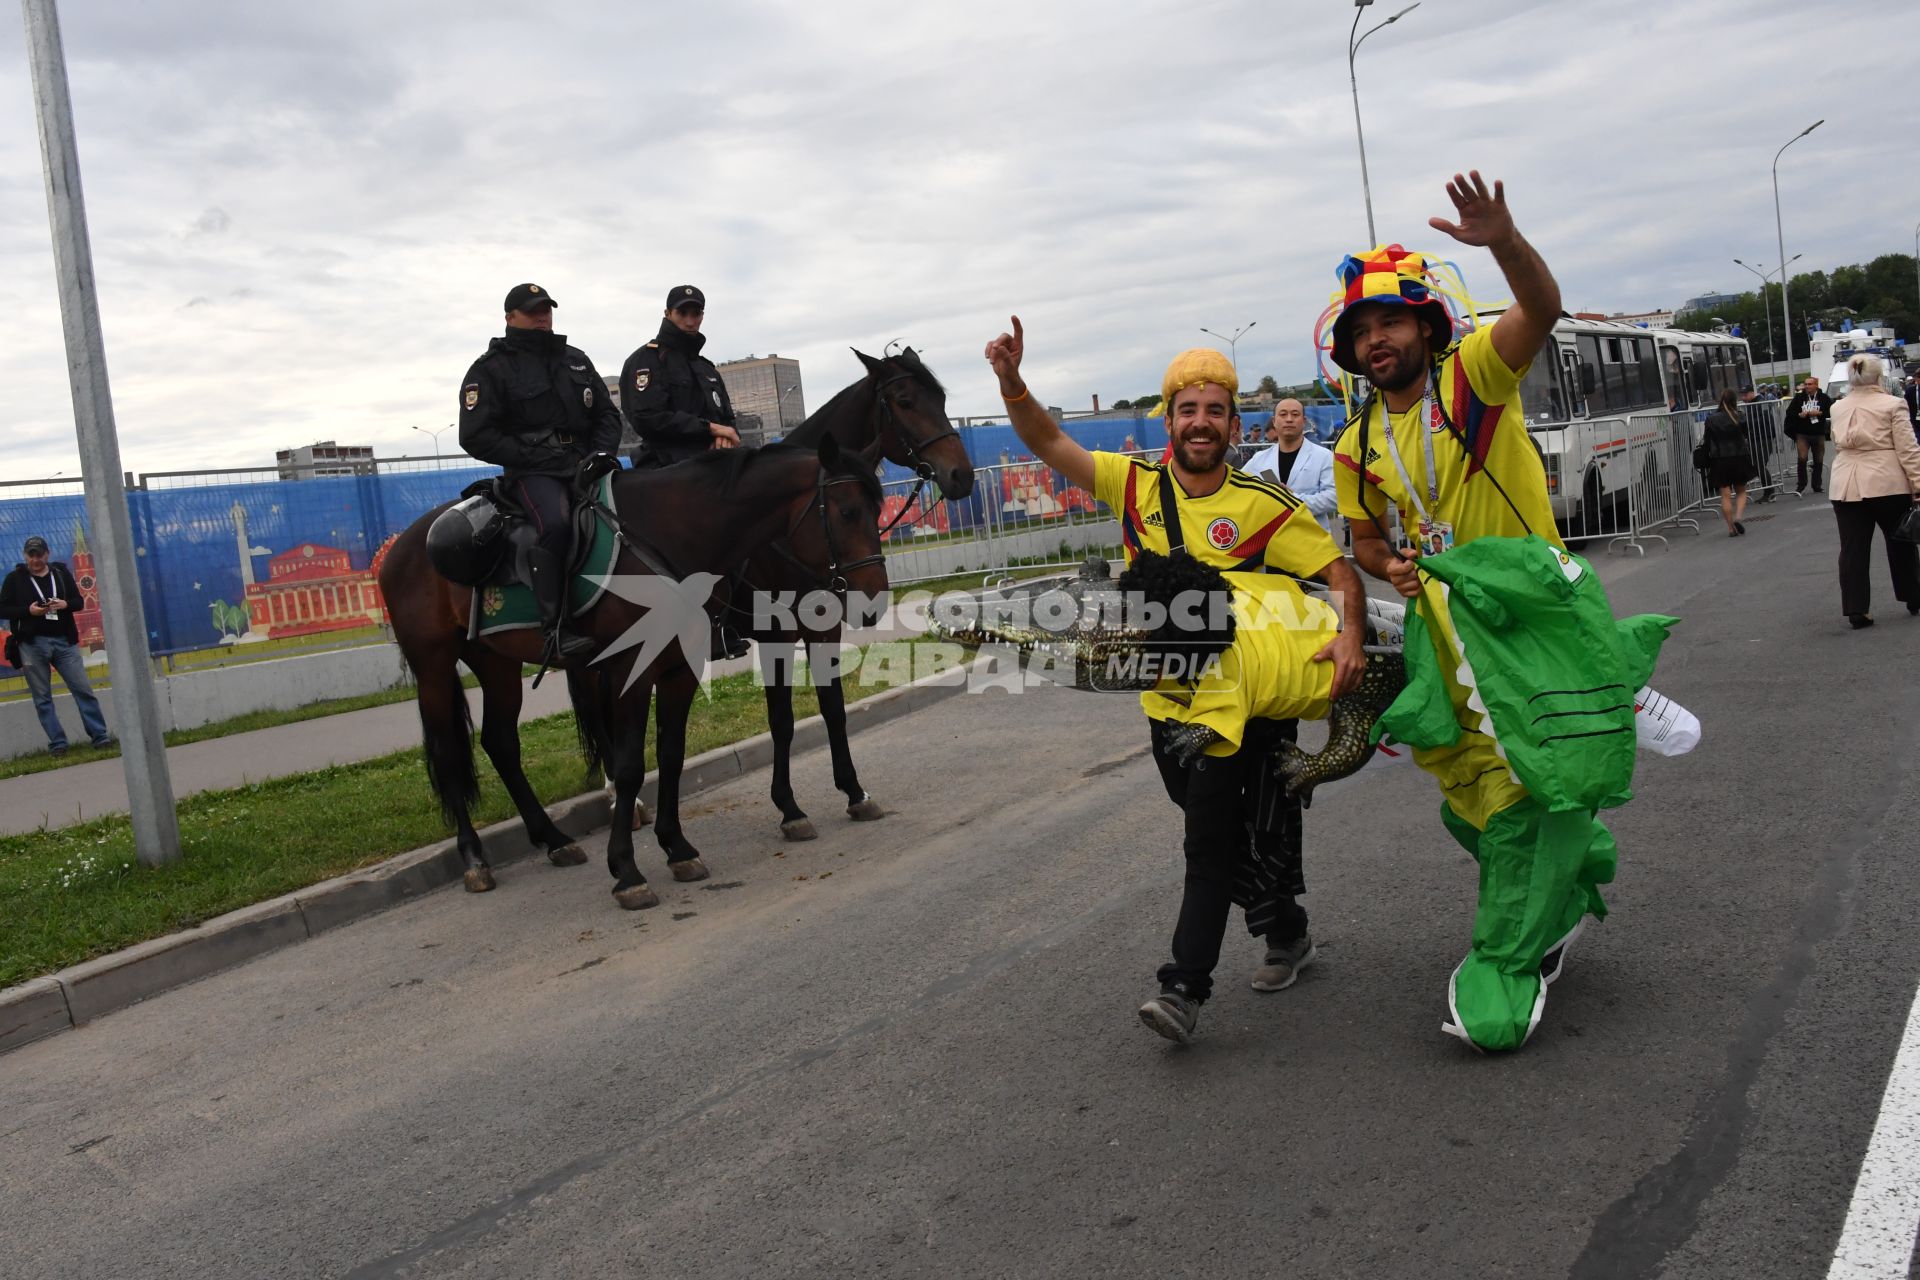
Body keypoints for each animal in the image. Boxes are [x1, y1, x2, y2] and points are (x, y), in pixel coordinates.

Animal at [384, 435, 890, 905]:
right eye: (848, 512)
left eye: (876, 509)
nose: (872, 602)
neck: (670, 534)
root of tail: (402, 544)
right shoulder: (641, 665)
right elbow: (632, 765)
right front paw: (627, 871)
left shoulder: (683, 666)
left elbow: (673, 752)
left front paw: (677, 848)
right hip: (434, 666)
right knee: (449, 752)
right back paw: (475, 858)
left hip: (498, 664)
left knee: (501, 743)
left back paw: (555, 840)